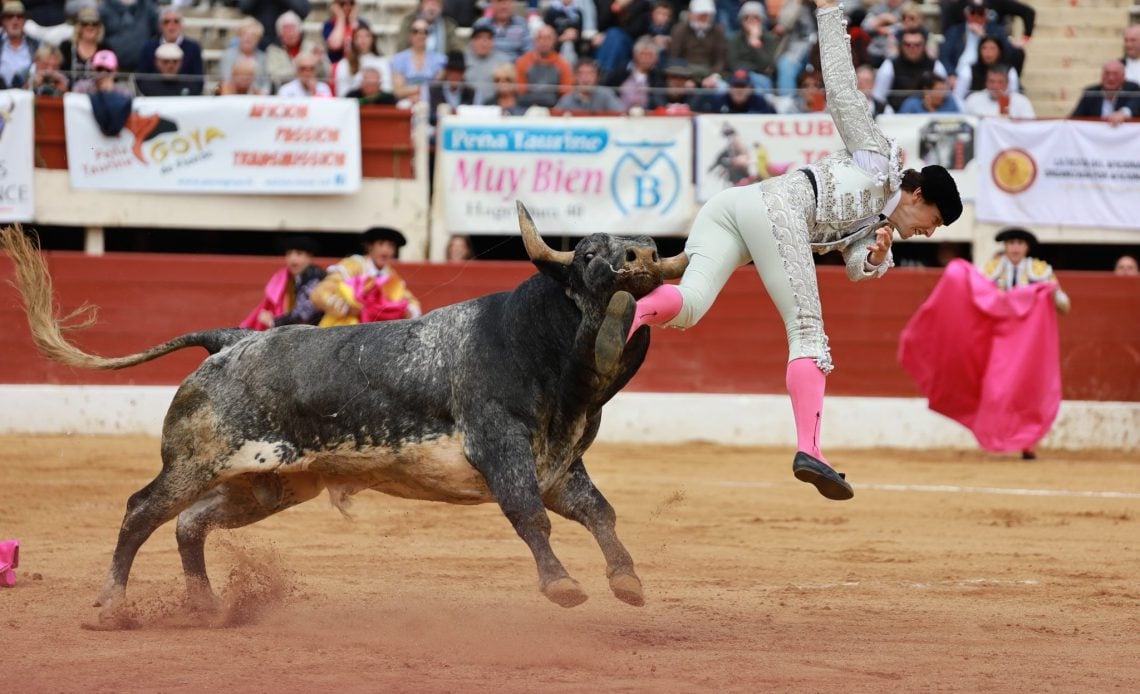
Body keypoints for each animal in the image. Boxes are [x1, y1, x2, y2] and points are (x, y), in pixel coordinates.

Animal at [0, 202, 684, 615]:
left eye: (646, 244)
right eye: (590, 252)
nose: (641, 258)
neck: (541, 347)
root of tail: (233, 340)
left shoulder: (558, 463)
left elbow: (599, 512)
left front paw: (627, 581)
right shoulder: (502, 447)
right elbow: (529, 518)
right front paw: (563, 586)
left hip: (267, 484)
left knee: (190, 524)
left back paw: (206, 605)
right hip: (195, 462)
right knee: (141, 510)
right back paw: (112, 606)